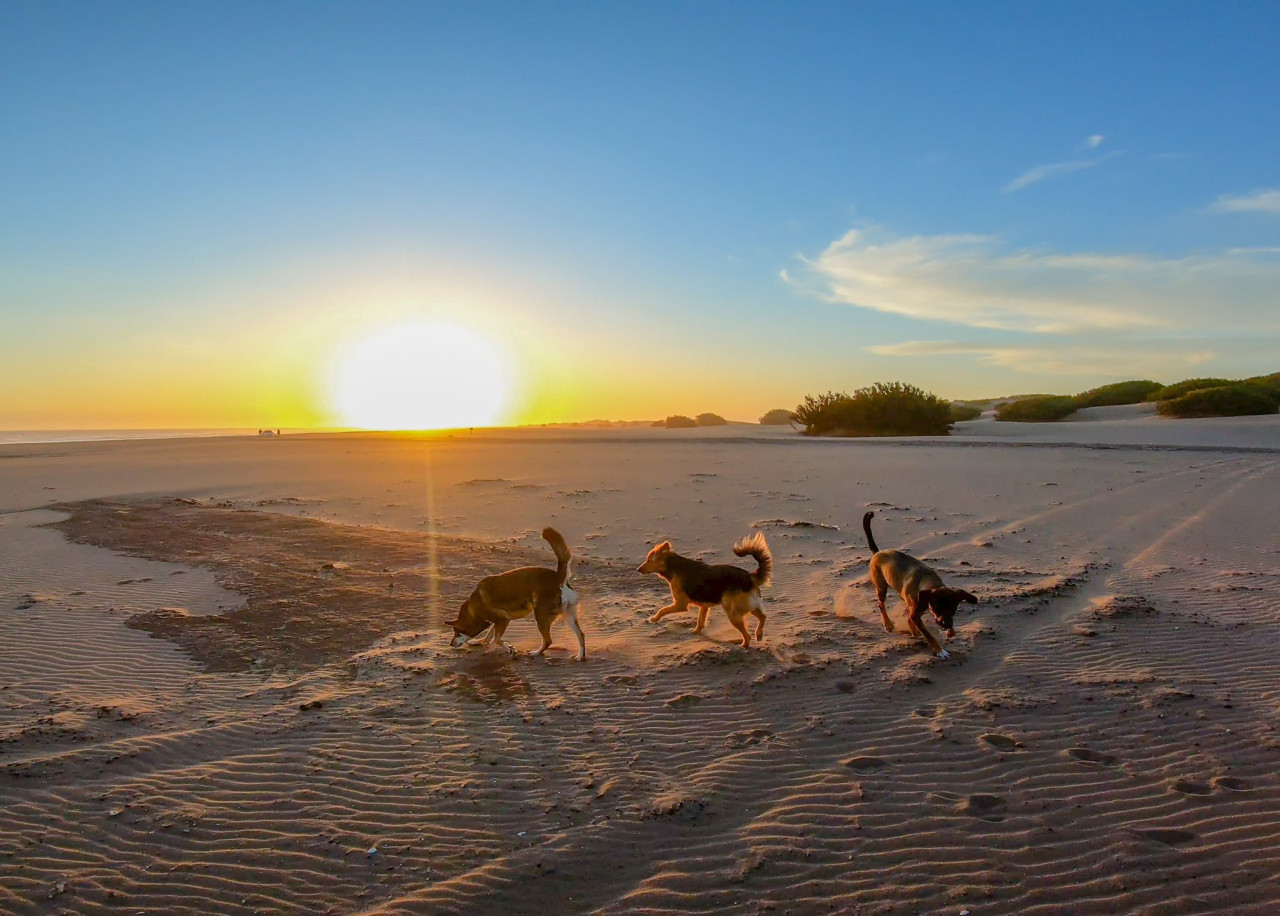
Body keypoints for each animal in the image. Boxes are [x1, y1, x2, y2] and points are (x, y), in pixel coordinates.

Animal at [445, 527, 586, 660]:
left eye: (457, 632)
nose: (451, 644)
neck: (474, 607)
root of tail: (558, 578)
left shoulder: (503, 619)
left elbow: (496, 639)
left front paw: (511, 648)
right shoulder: (498, 621)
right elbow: (489, 635)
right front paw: (480, 641)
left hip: (541, 617)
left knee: (548, 641)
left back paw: (535, 653)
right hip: (568, 615)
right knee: (581, 635)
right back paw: (580, 656)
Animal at [637, 532, 768, 647]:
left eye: (648, 560)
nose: (638, 569)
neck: (673, 566)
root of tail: (750, 577)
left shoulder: (680, 604)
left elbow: (662, 610)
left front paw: (654, 618)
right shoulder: (704, 605)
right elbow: (700, 620)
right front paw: (696, 631)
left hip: (733, 612)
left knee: (748, 635)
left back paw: (744, 645)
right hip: (749, 606)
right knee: (763, 617)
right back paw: (759, 634)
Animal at [865, 509, 972, 660]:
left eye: (953, 608)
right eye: (936, 607)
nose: (945, 625)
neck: (929, 583)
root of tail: (877, 552)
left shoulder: (917, 613)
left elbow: (913, 623)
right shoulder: (916, 614)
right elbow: (928, 634)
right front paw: (939, 650)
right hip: (881, 586)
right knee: (880, 604)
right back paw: (888, 624)